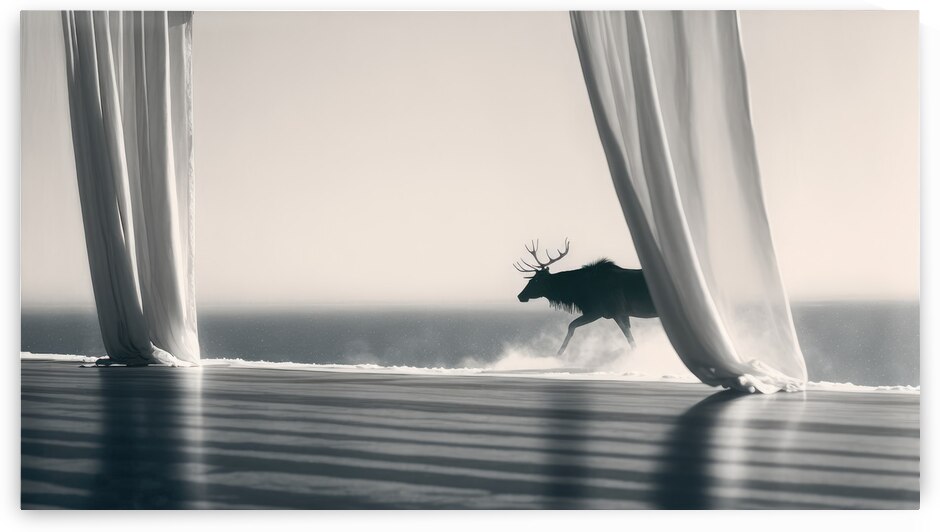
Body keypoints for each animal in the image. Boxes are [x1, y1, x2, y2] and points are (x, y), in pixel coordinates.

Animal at [514, 239, 657, 355]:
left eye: (536, 280)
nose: (520, 296)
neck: (579, 292)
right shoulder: (620, 313)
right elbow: (629, 337)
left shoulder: (602, 311)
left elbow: (571, 326)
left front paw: (558, 354)